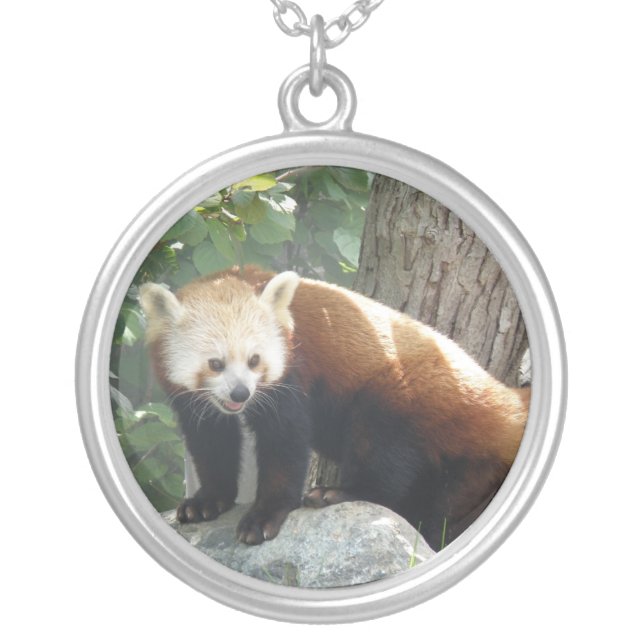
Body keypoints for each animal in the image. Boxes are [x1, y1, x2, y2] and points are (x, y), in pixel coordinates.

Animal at [139, 266, 530, 549]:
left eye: (254, 360)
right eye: (216, 364)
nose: (241, 393)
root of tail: (500, 398)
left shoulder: (292, 376)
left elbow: (285, 446)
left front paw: (264, 516)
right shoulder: (195, 401)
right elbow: (210, 443)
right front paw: (208, 500)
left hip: (403, 399)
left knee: (384, 456)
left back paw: (341, 493)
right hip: (471, 474)